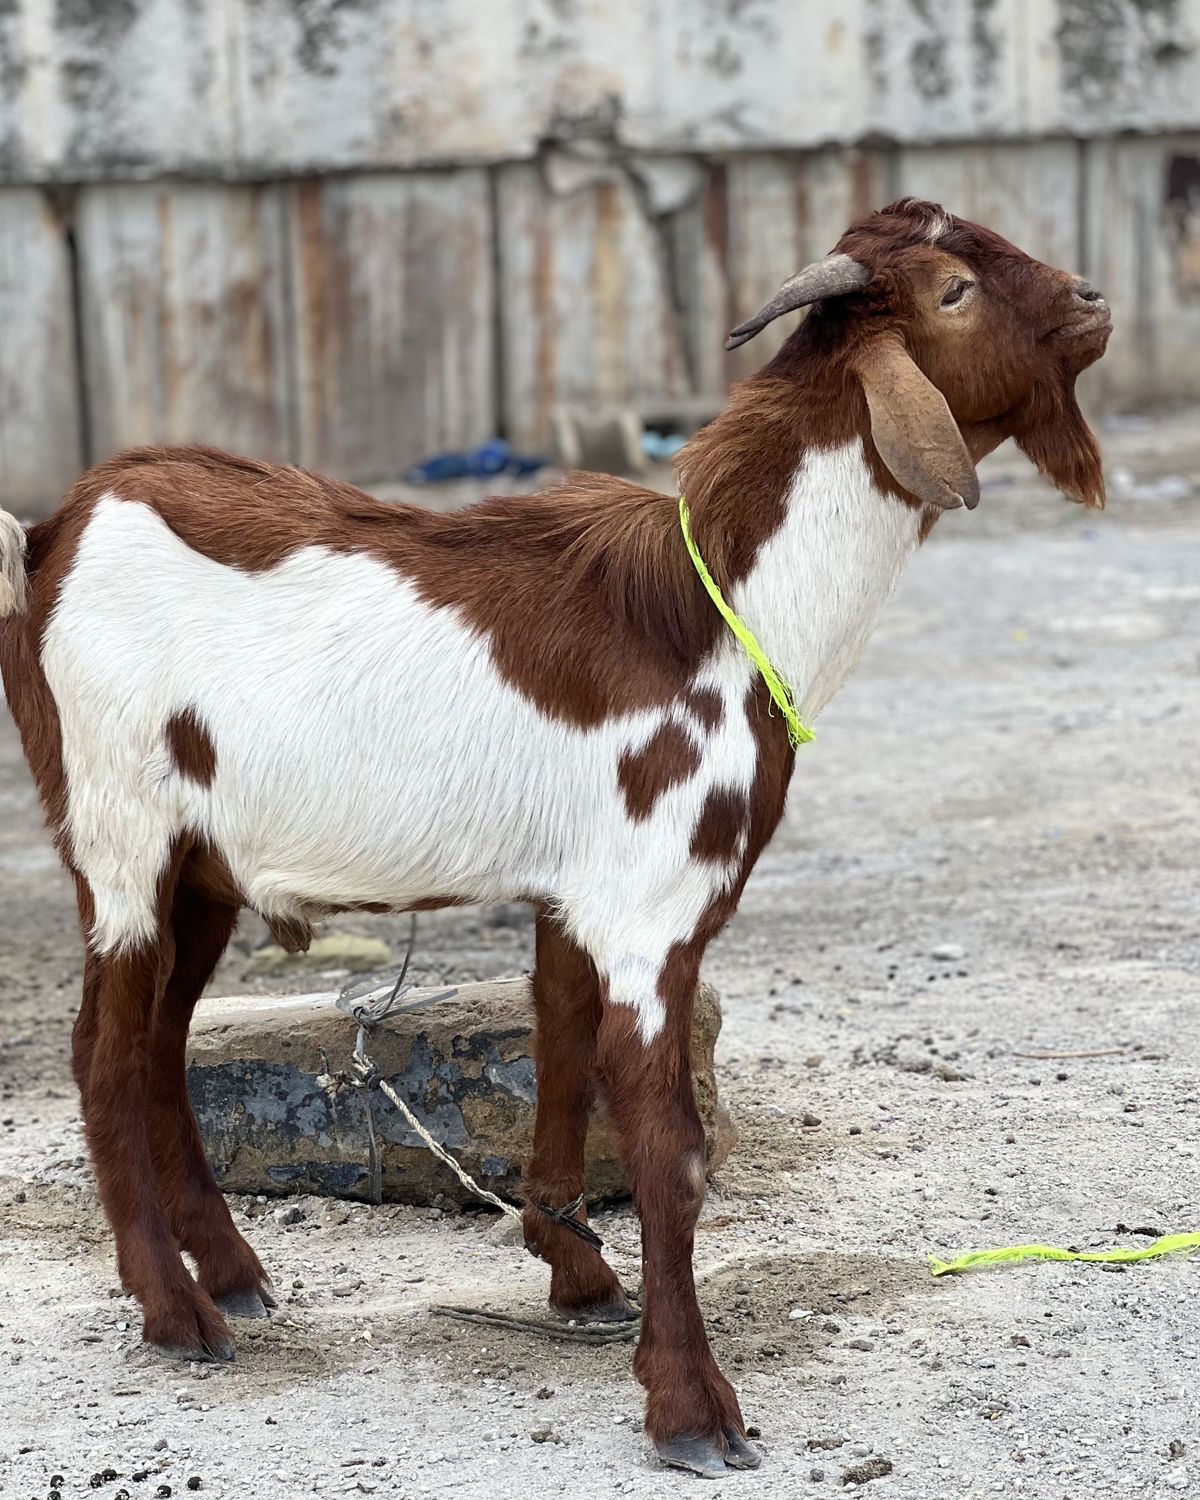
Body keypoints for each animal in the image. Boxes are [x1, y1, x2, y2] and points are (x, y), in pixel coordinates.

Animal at [0, 199, 1109, 1476]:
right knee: (102, 1058)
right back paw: (175, 1312)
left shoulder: (581, 897)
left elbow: (565, 1067)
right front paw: (691, 1408)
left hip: (199, 869)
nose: (1094, 302)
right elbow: (668, 1148)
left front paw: (578, 1277)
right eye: (952, 292)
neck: (722, 609)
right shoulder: (654, 906)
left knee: (160, 1051)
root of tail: (50, 535)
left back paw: (232, 1275)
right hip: (119, 835)